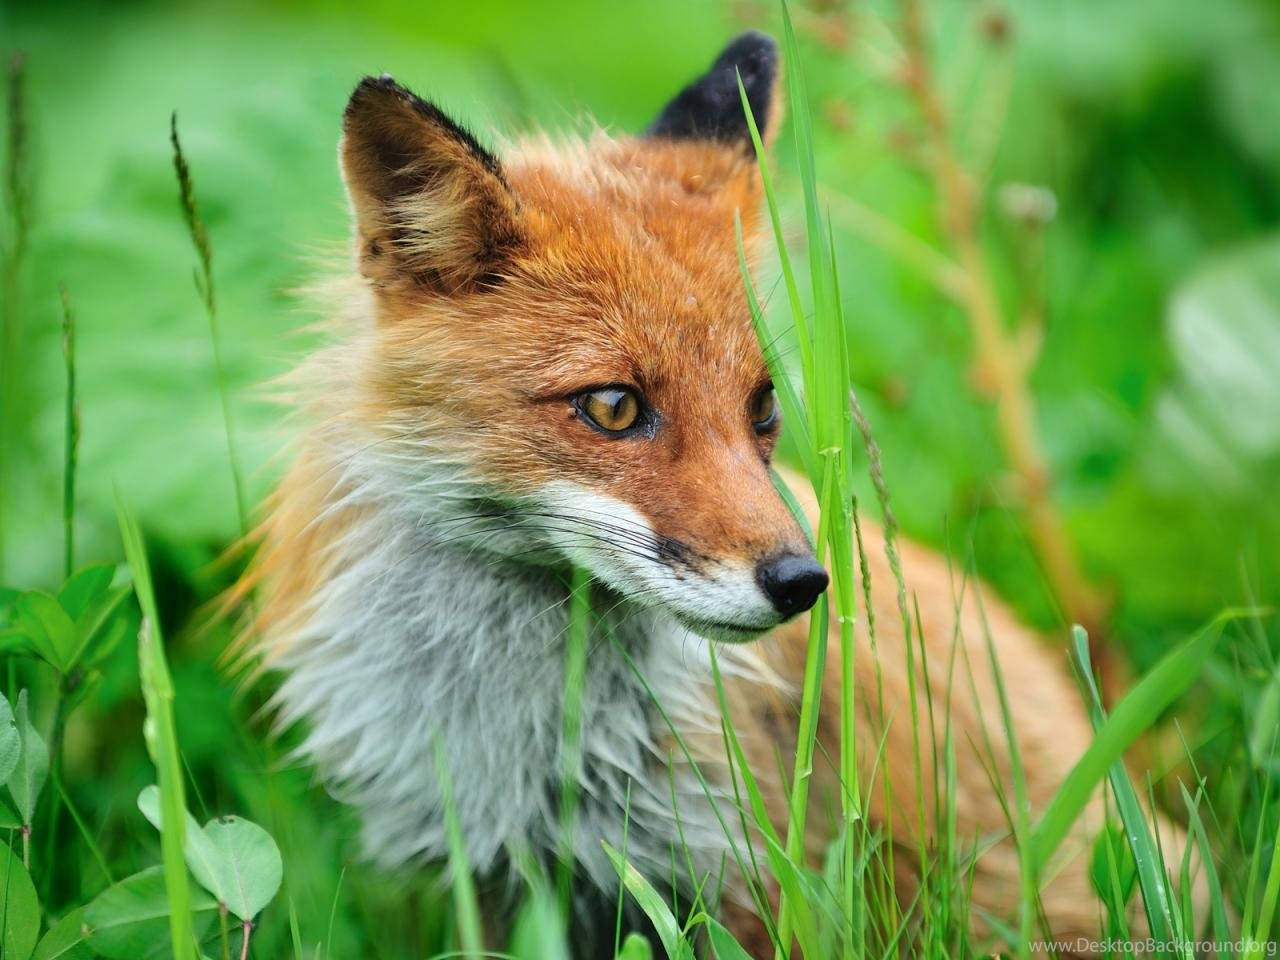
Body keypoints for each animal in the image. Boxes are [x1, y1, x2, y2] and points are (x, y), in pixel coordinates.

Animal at [241, 30, 1198, 960]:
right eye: (614, 407)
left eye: (762, 406)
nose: (804, 584)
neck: (527, 733)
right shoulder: (495, 878)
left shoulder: (745, 880)